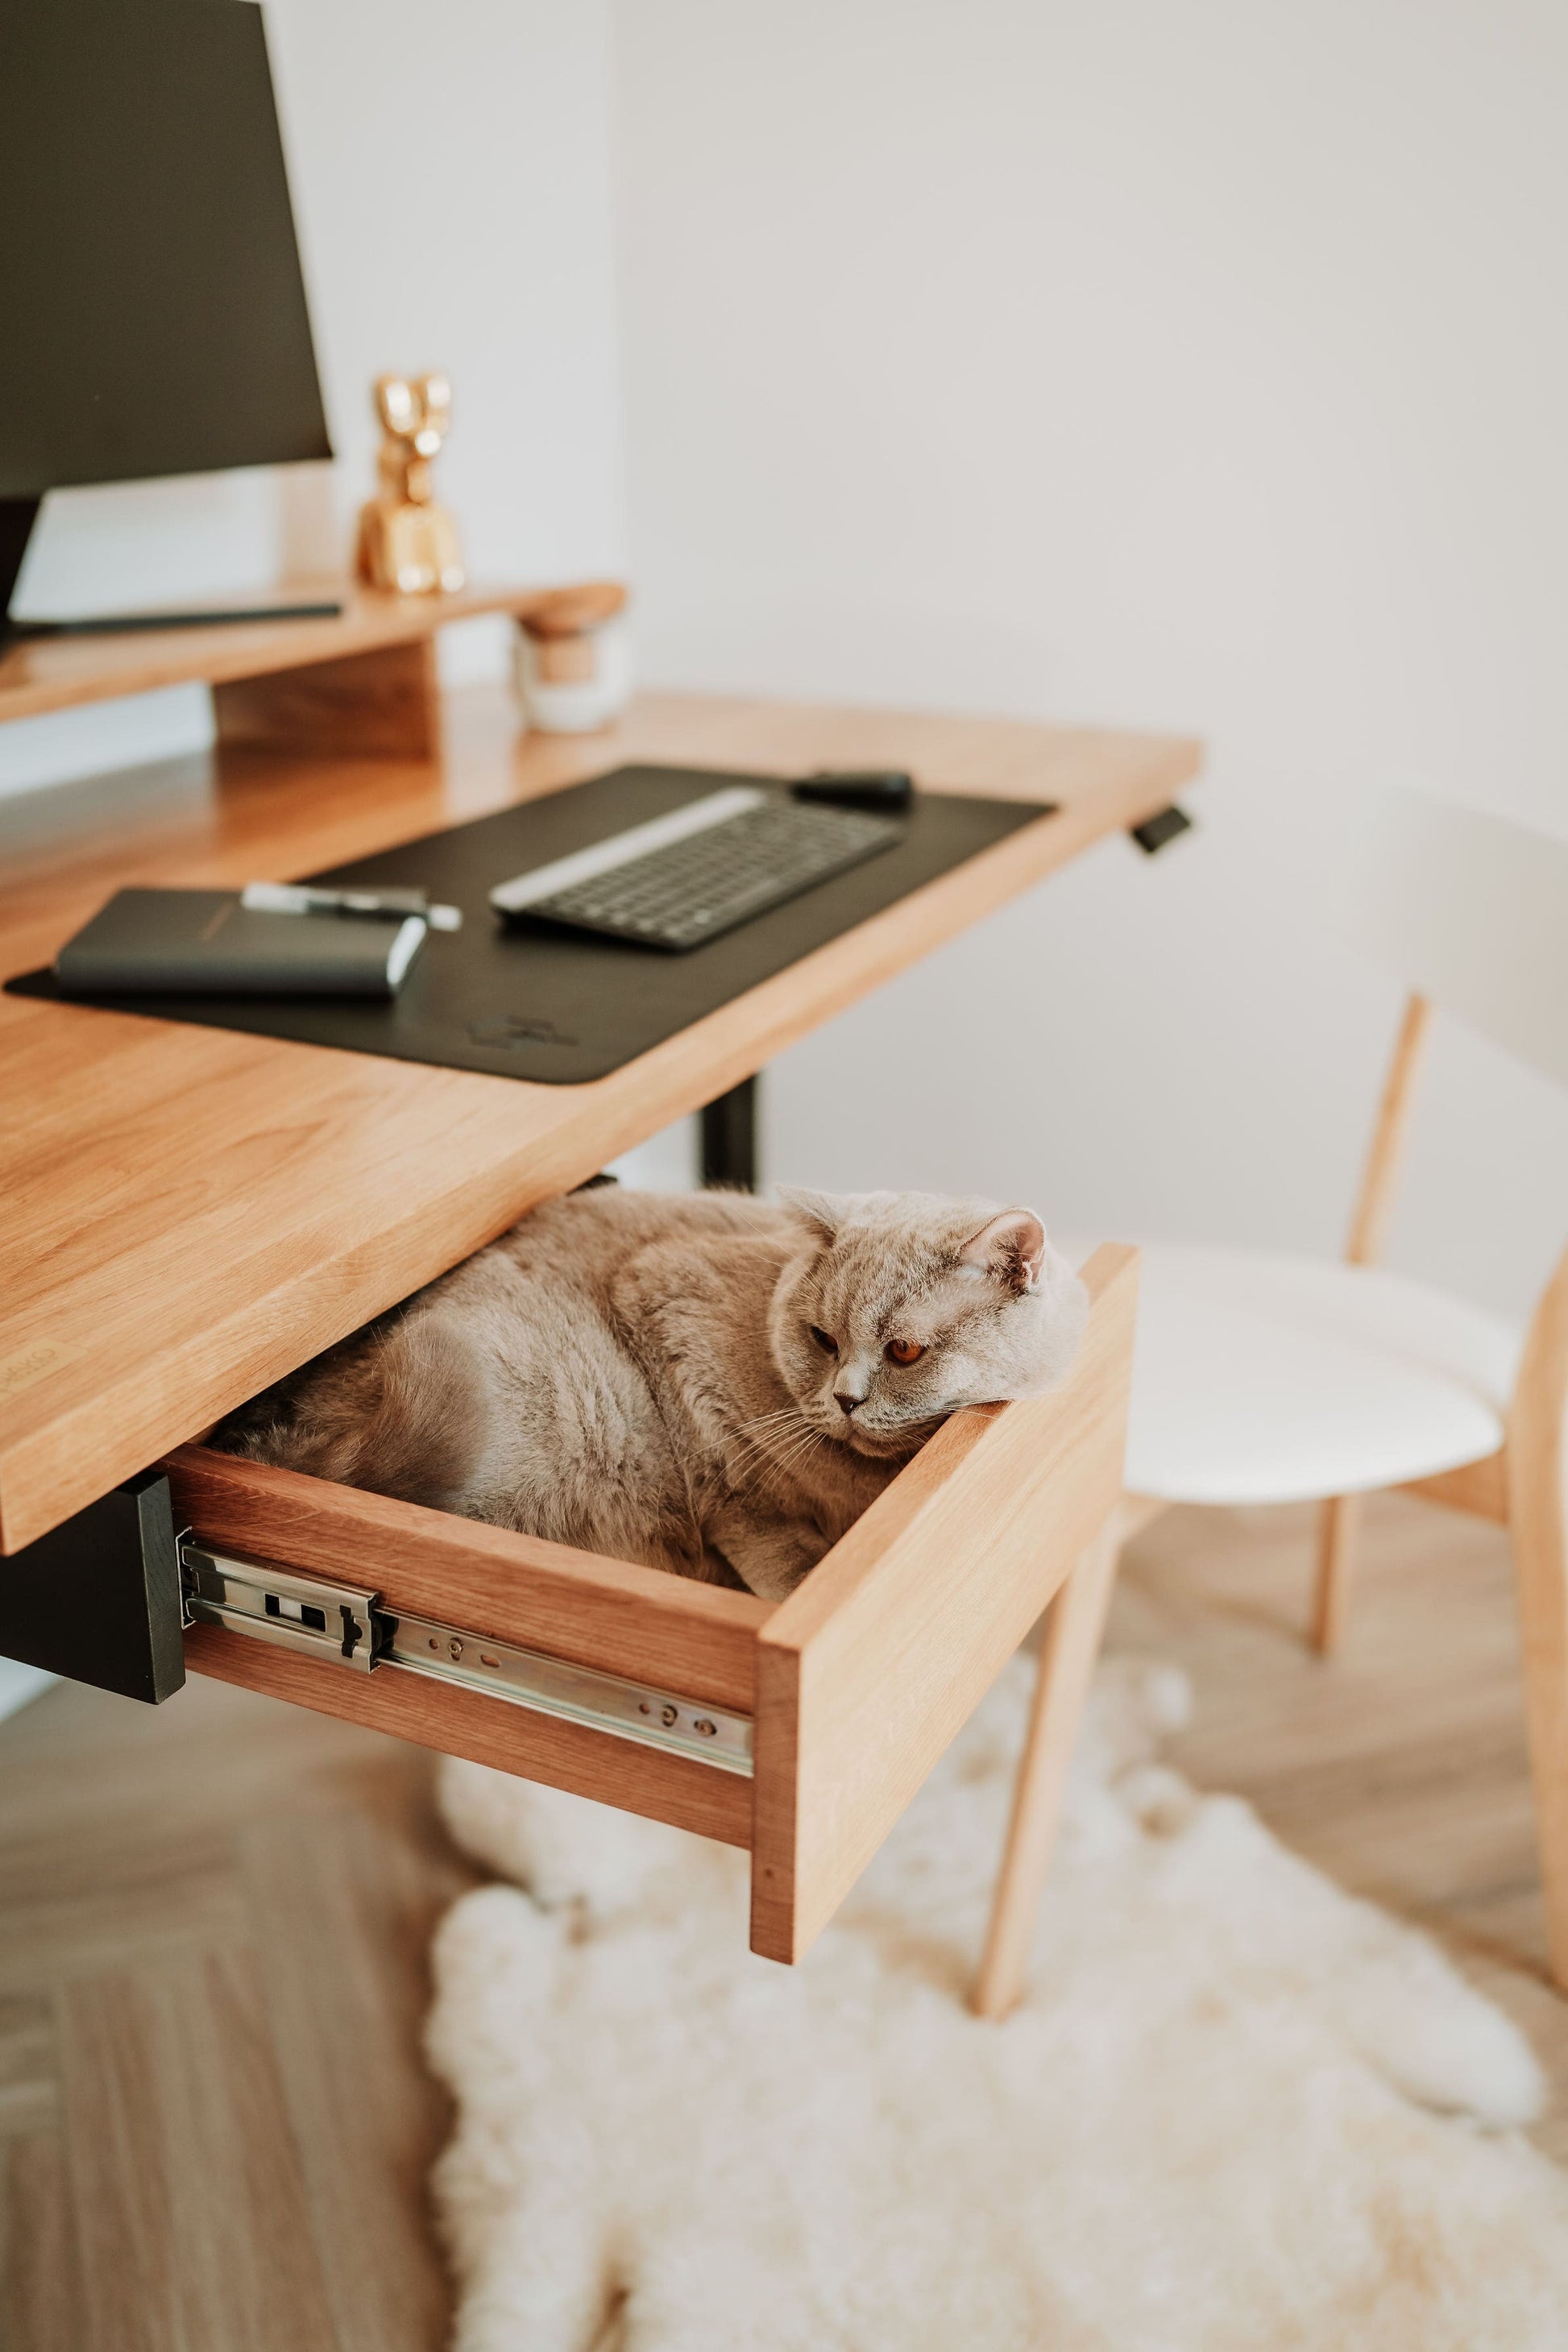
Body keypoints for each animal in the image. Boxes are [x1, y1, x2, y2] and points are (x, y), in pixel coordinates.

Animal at [214, 1185, 1085, 1608]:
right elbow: (752, 1515)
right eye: (821, 1338)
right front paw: (795, 1575)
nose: (842, 1398)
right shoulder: (670, 1309)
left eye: (903, 1350)